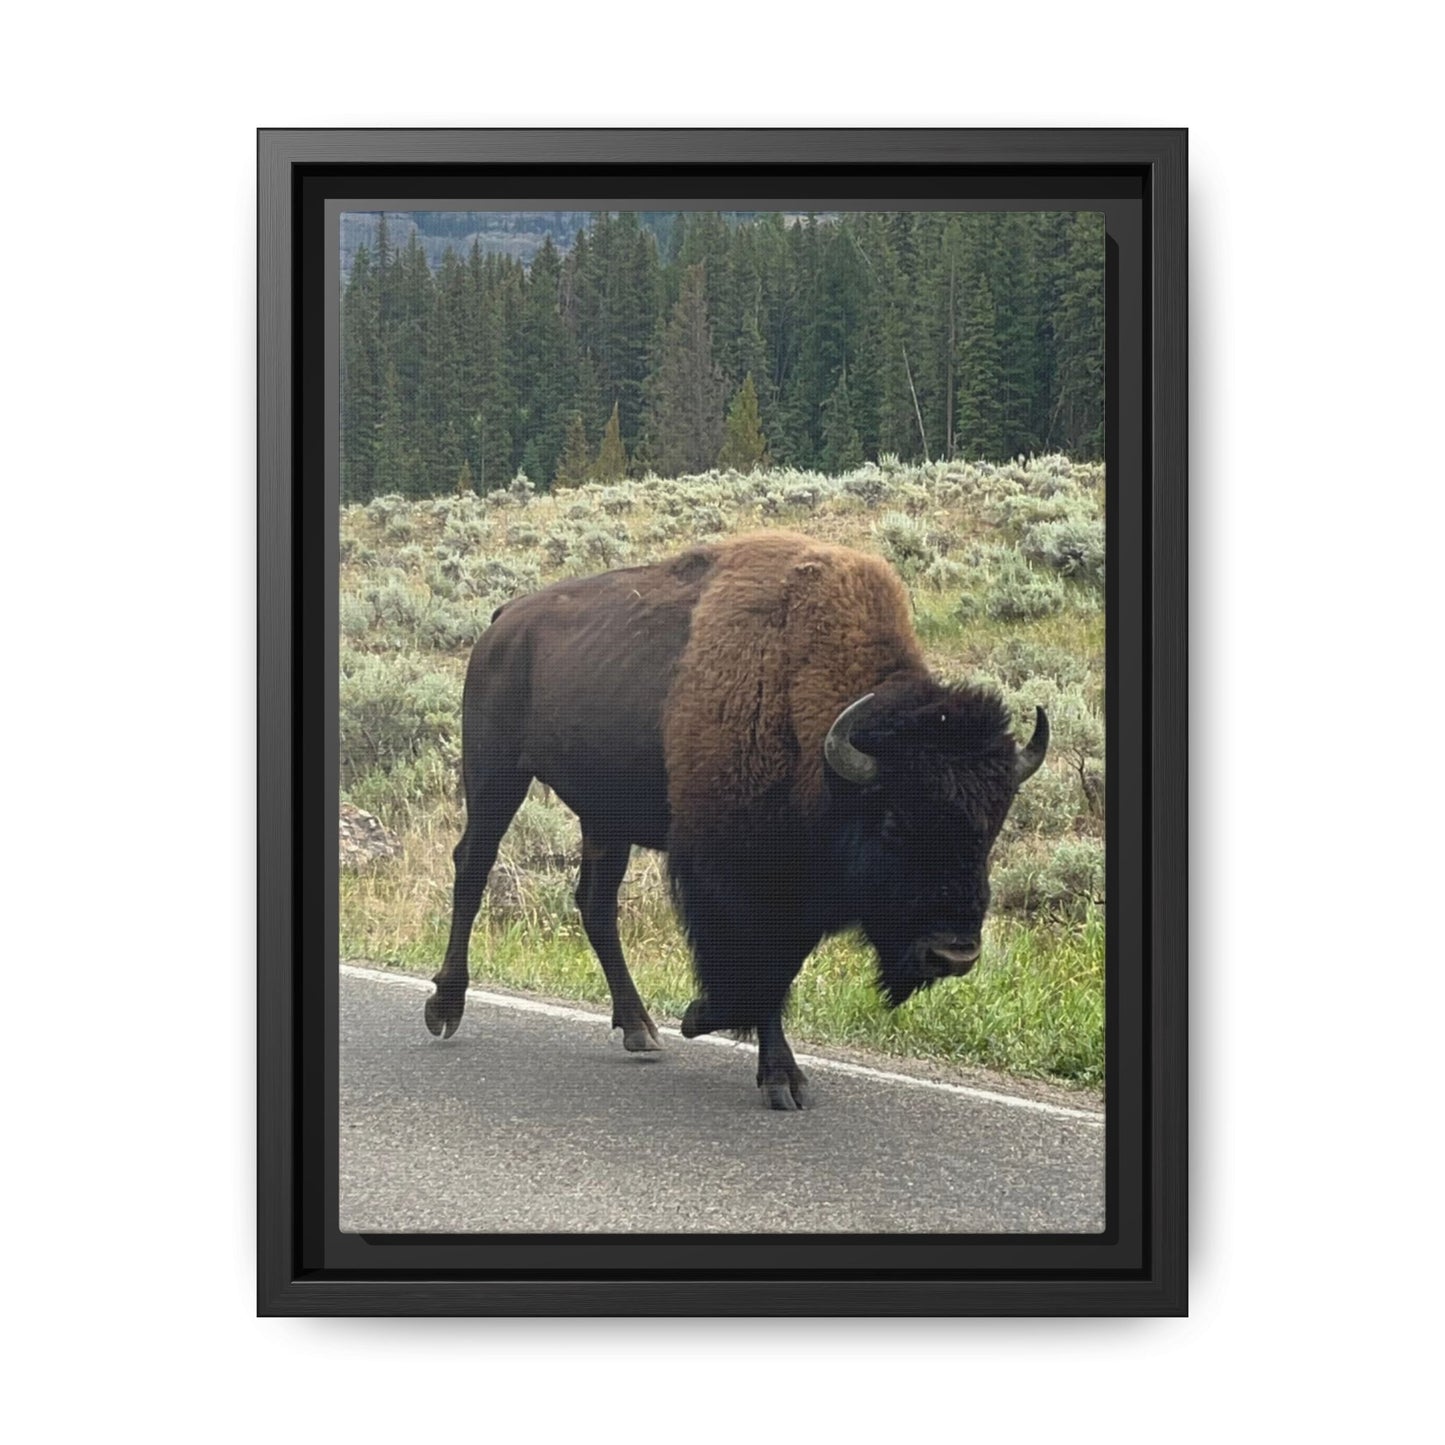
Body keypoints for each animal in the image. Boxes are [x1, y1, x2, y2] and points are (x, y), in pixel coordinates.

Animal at [426, 530, 1048, 1110]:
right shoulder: (736, 878)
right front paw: (759, 1062)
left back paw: (639, 1028)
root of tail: (504, 621)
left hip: (605, 817)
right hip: (496, 775)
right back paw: (444, 1007)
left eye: (992, 827)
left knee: (596, 905)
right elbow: (758, 967)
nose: (954, 953)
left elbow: (779, 969)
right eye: (893, 822)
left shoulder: (795, 889)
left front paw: (725, 1034)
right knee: (473, 867)